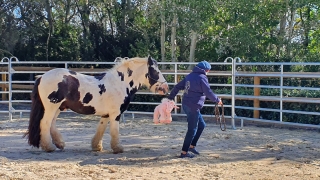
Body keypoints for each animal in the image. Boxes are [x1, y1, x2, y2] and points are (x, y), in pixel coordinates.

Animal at [23, 56, 169, 153]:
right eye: (156, 71)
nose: (166, 88)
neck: (120, 83)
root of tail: (42, 76)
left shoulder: (106, 115)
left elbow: (101, 129)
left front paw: (96, 146)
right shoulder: (115, 114)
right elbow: (114, 131)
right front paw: (118, 148)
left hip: (58, 107)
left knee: (51, 124)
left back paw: (60, 144)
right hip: (51, 107)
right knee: (45, 124)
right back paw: (49, 147)